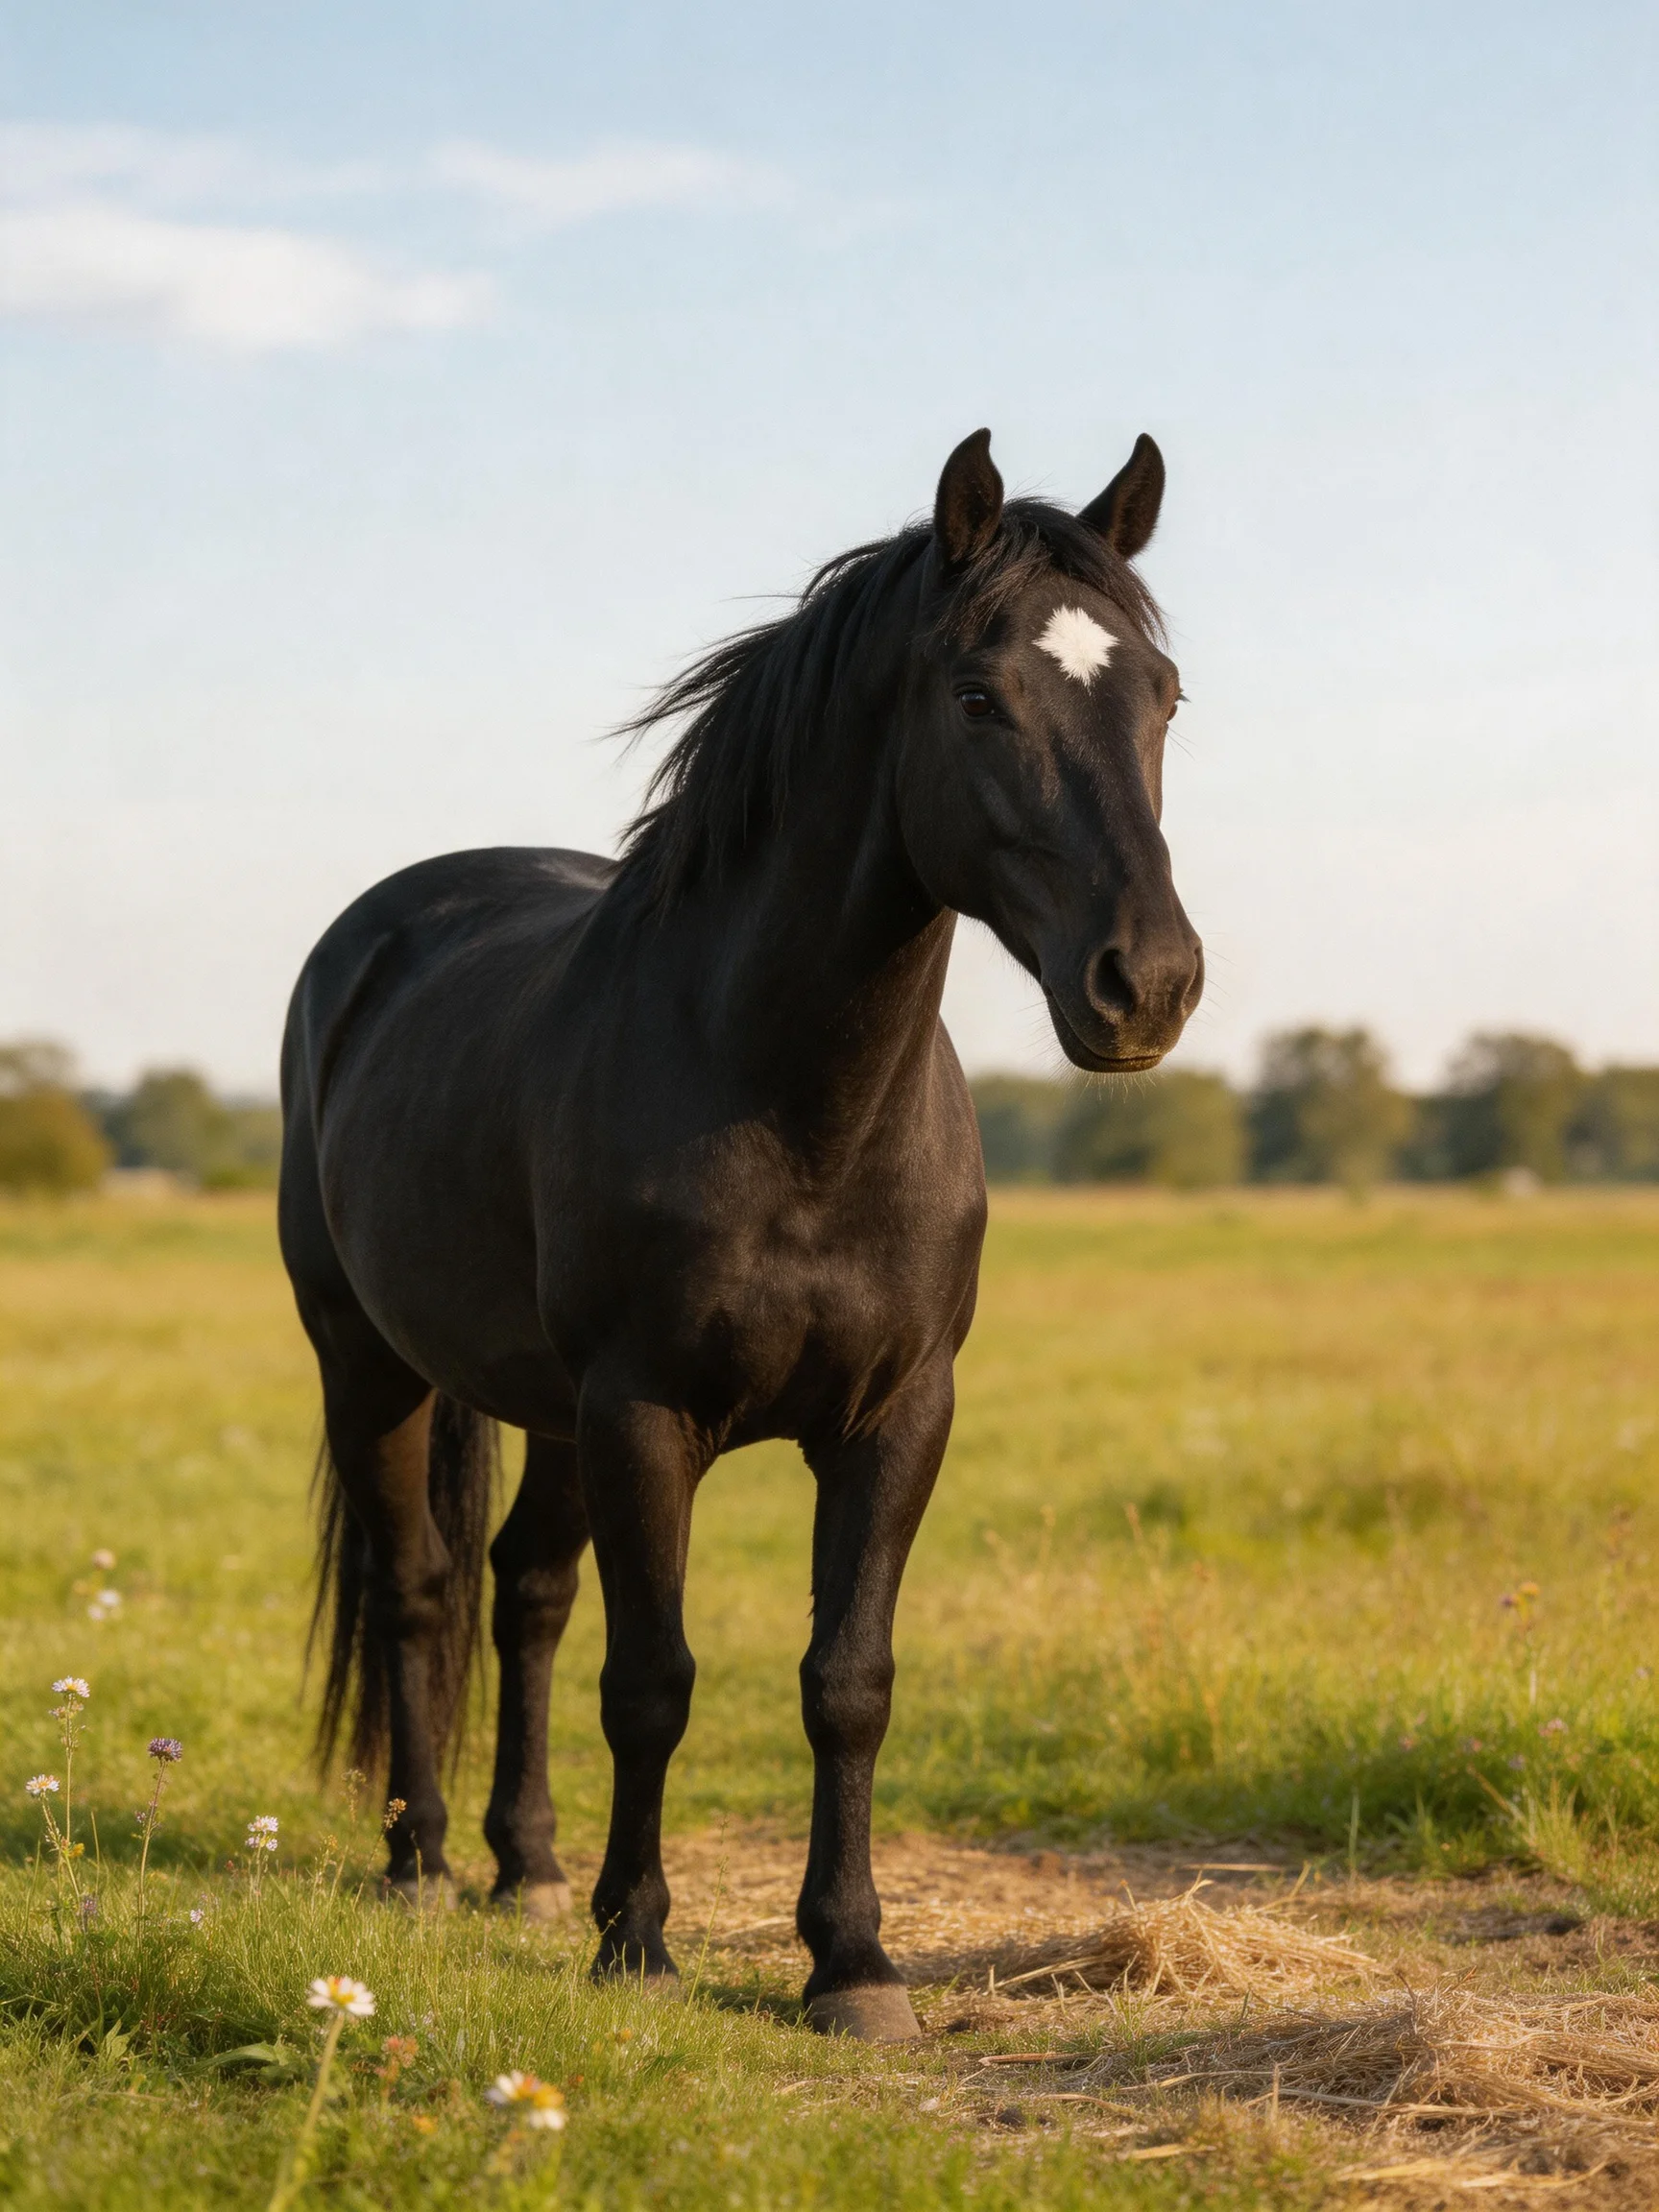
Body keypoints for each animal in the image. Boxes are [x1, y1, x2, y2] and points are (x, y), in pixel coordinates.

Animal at [277, 427, 1202, 2039]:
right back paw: (423, 1864)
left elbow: (849, 1680)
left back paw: (525, 1869)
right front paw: (638, 1945)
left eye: (1162, 694)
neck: (795, 1106)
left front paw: (855, 1966)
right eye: (979, 695)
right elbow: (654, 1679)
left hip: (545, 1409)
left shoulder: (897, 1419)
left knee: (523, 1597)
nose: (1144, 985)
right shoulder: (646, 1412)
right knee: (419, 1593)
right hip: (370, 1363)